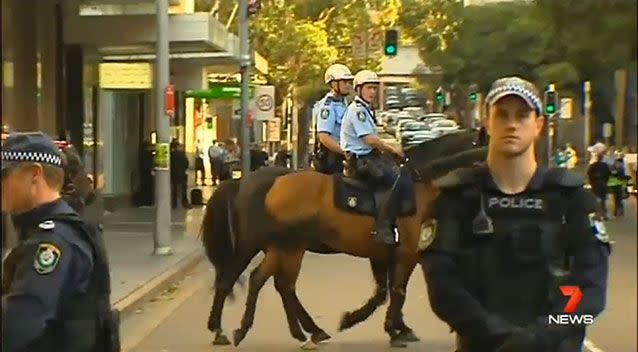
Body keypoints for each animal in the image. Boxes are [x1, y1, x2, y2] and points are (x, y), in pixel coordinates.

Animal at [202, 131, 488, 348]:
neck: (422, 184)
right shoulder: (407, 255)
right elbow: (397, 291)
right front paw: (393, 329)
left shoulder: (382, 254)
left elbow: (382, 293)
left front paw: (389, 326)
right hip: (270, 247)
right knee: (245, 280)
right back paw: (224, 330)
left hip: (281, 248)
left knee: (272, 282)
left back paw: (303, 331)